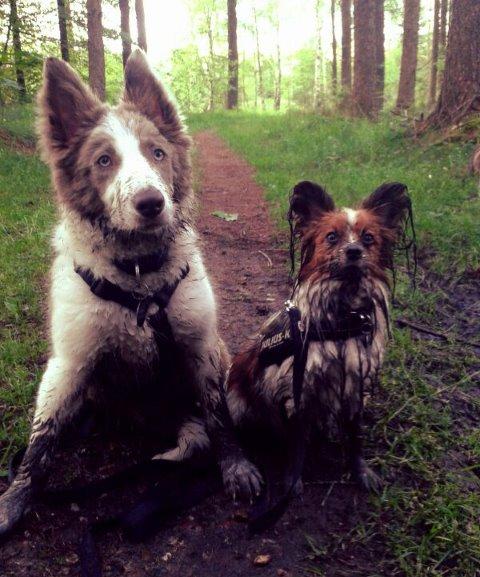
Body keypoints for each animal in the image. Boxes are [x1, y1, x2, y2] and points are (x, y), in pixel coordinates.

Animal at [0, 49, 260, 536]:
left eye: (157, 152)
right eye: (104, 160)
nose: (151, 204)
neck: (138, 282)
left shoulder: (199, 345)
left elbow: (218, 417)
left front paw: (235, 466)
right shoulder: (69, 362)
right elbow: (40, 444)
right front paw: (14, 501)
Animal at [227, 181, 410, 490]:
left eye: (368, 238)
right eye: (332, 237)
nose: (353, 251)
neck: (342, 318)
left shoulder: (354, 384)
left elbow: (356, 436)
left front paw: (360, 471)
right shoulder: (299, 391)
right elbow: (296, 445)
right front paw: (292, 480)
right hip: (237, 401)